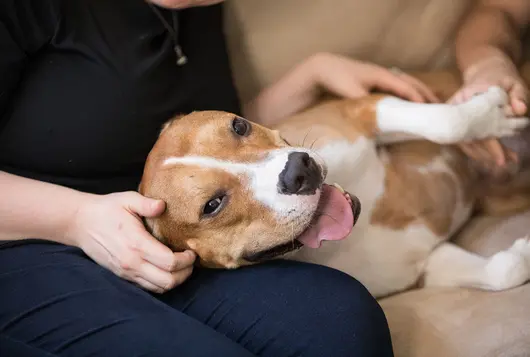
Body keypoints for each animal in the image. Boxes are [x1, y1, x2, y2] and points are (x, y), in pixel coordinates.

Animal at [138, 73, 528, 296]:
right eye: (212, 206)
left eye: (239, 126)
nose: (299, 170)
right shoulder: (424, 260)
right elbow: (501, 273)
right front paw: (523, 254)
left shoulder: (361, 109)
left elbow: (446, 122)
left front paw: (488, 114)